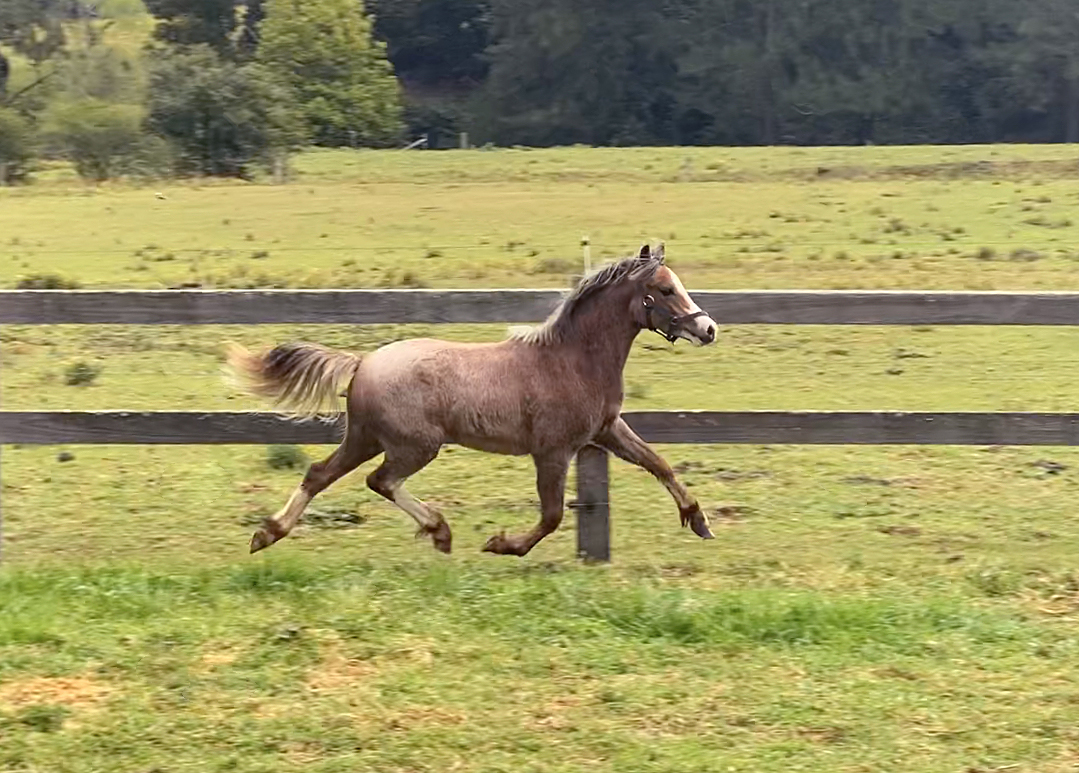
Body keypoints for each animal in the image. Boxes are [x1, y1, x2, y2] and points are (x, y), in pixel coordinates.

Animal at [225, 243, 719, 557]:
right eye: (666, 289)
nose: (708, 328)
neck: (572, 360)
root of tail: (363, 362)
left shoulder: (606, 430)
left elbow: (659, 464)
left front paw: (699, 520)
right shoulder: (553, 451)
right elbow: (552, 515)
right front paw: (503, 546)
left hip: (365, 438)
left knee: (320, 474)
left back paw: (267, 534)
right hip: (413, 445)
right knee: (380, 481)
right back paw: (438, 530)